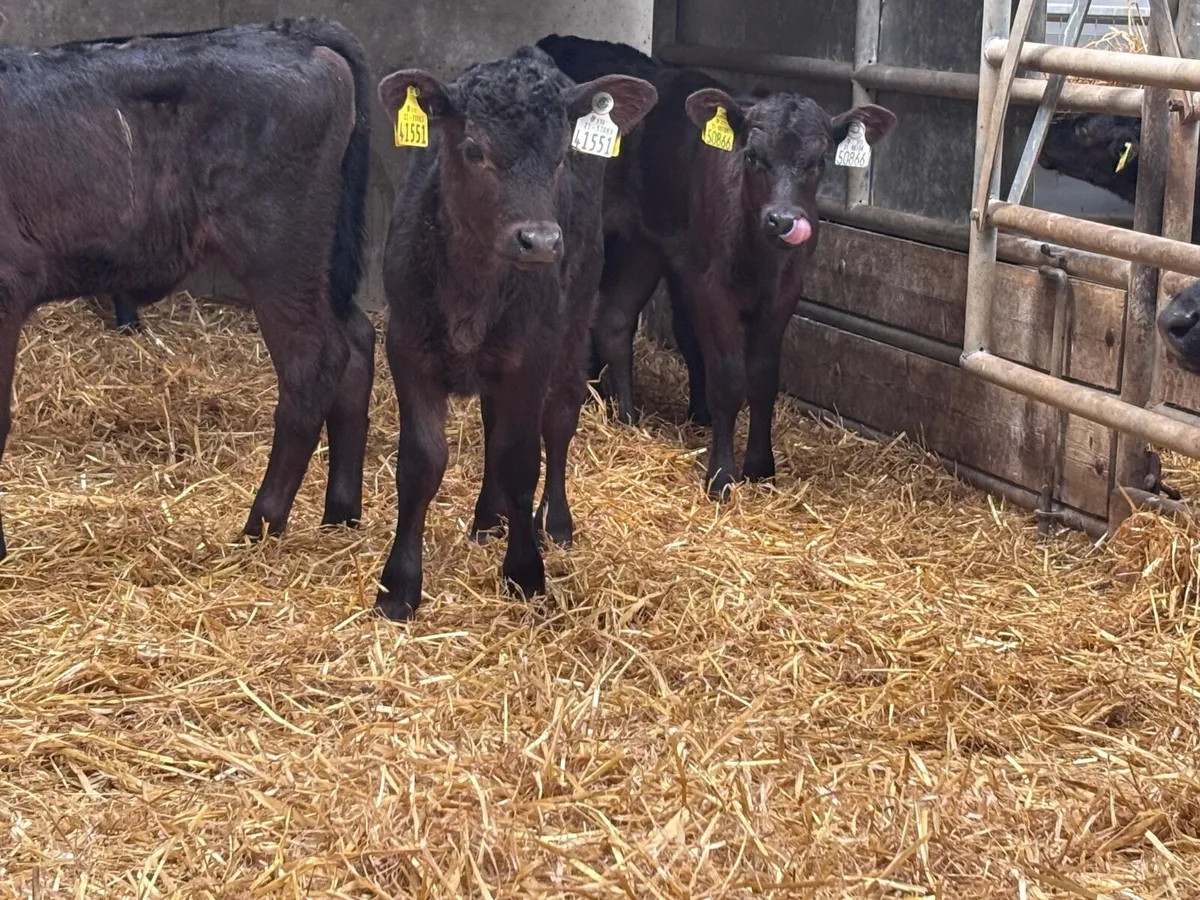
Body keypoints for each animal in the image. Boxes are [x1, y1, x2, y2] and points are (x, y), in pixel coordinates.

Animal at [0, 18, 376, 558]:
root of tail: (291, 32)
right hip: (320, 263)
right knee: (357, 344)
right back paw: (341, 515)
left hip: (280, 250)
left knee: (315, 361)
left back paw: (262, 523)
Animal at [372, 48, 658, 621]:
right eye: (473, 148)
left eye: (560, 156)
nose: (540, 241)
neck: (473, 286)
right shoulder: (407, 347)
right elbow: (421, 461)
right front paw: (399, 586)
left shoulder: (531, 355)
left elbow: (521, 459)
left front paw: (525, 572)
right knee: (491, 424)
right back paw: (488, 518)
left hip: (573, 322)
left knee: (560, 418)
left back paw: (555, 522)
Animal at [538, 36, 896, 497]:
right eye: (753, 157)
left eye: (819, 162)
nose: (783, 220)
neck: (760, 255)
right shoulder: (708, 285)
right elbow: (727, 377)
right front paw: (722, 474)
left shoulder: (785, 292)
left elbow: (762, 377)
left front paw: (761, 466)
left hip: (642, 247)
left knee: (615, 320)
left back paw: (626, 416)